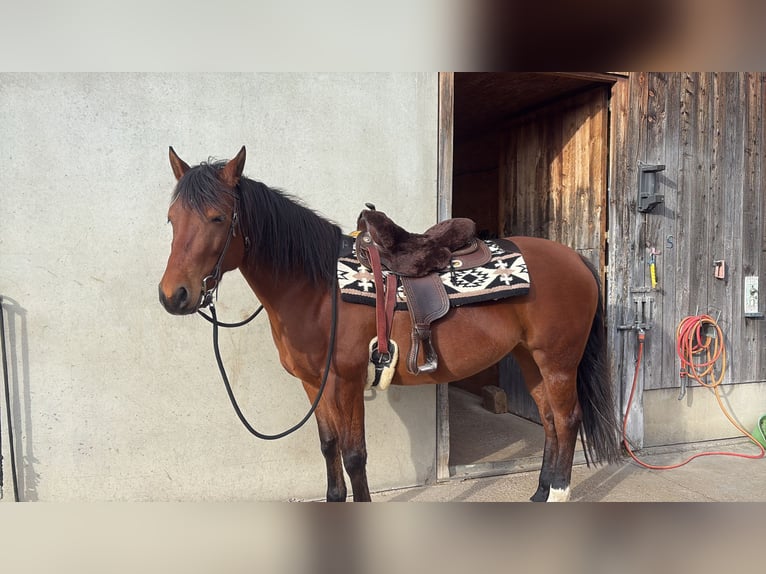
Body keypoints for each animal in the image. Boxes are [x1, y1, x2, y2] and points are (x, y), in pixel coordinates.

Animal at [158, 146, 621, 502]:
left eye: (218, 218)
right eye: (171, 218)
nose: (172, 295)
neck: (316, 287)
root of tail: (575, 260)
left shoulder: (345, 381)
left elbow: (354, 456)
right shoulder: (314, 383)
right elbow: (328, 447)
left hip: (558, 361)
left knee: (567, 419)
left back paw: (556, 493)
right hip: (530, 358)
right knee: (549, 420)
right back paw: (540, 492)